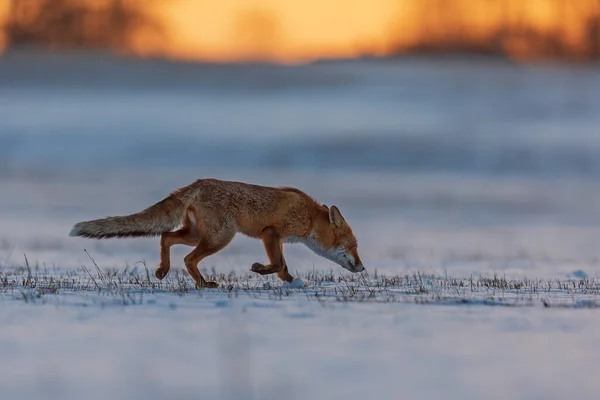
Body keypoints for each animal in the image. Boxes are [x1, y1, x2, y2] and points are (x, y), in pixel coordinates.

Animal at [68, 178, 364, 288]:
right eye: (353, 246)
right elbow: (277, 263)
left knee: (166, 237)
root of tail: (195, 184)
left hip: (198, 234)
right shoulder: (271, 233)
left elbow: (282, 267)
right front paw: (259, 269)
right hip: (221, 238)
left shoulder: (276, 239)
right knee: (188, 258)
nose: (362, 267)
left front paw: (291, 282)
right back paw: (202, 283)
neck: (308, 217)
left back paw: (164, 270)